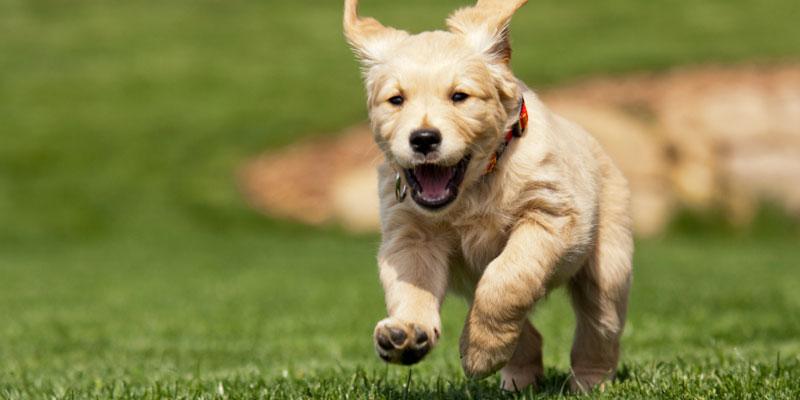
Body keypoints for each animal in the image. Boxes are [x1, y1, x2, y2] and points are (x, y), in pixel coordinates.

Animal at [342, 0, 632, 392]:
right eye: (396, 100)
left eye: (459, 97)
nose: (423, 139)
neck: (475, 187)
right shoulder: (411, 237)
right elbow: (413, 287)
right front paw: (407, 332)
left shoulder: (549, 215)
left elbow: (507, 279)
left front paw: (480, 352)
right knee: (528, 333)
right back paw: (518, 379)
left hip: (608, 267)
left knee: (599, 328)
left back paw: (588, 383)